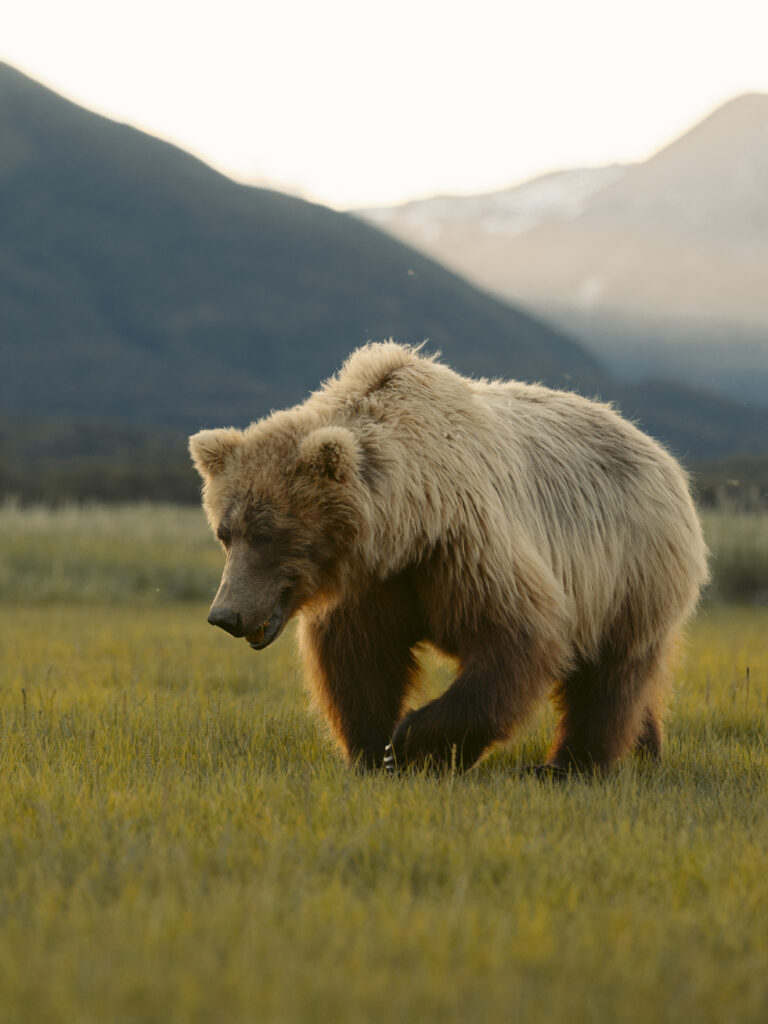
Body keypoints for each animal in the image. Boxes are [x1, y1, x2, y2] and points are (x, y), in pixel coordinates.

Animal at [189, 342, 708, 775]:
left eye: (267, 534)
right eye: (225, 533)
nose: (226, 614)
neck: (407, 524)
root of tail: (661, 453)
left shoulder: (464, 549)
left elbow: (515, 639)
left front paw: (413, 744)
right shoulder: (377, 585)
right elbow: (358, 661)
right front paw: (373, 752)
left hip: (630, 571)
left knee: (611, 676)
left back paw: (567, 766)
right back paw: (645, 749)